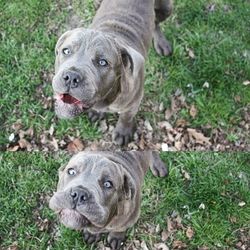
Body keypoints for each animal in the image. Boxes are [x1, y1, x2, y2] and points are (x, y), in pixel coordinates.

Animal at [52, 0, 174, 145]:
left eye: (102, 62)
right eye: (66, 51)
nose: (71, 77)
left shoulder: (134, 102)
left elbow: (126, 117)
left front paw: (123, 132)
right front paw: (97, 113)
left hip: (166, 8)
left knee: (156, 22)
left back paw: (161, 43)